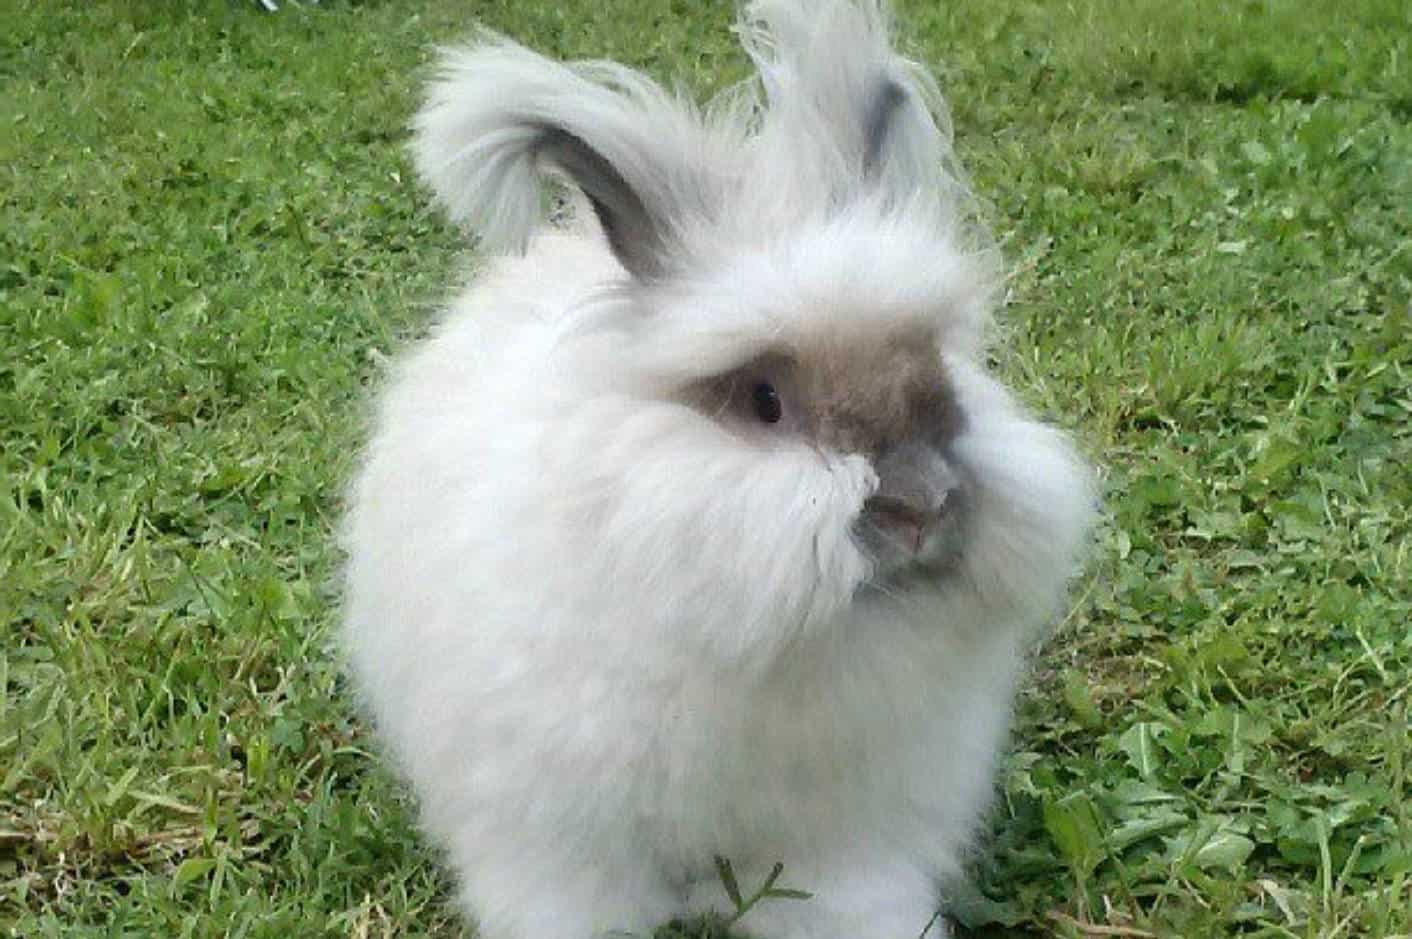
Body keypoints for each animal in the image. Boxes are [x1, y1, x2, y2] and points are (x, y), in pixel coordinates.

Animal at [347, 1, 1095, 937]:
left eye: (940, 376)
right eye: (765, 401)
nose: (923, 506)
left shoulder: (850, 830)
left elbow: (846, 891)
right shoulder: (554, 827)